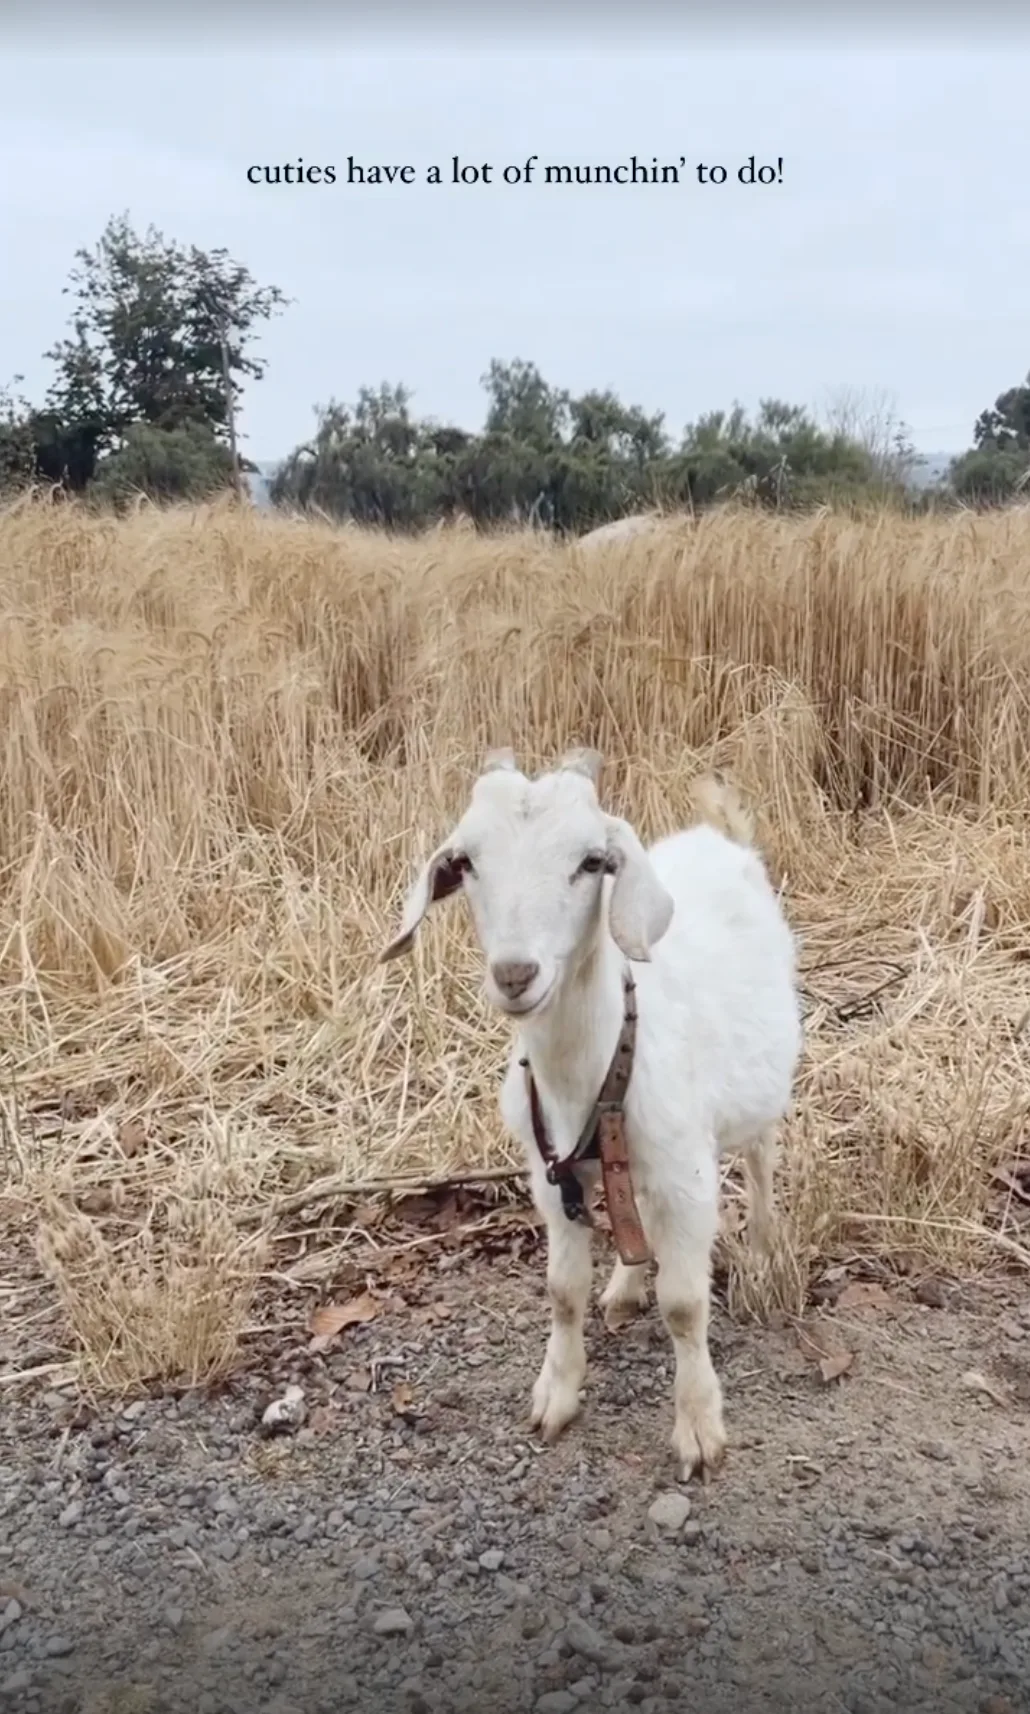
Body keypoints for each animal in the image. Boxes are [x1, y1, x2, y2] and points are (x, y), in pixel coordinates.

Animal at [381, 747, 802, 1479]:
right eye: (465, 863)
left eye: (590, 862)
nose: (515, 974)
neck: (596, 1065)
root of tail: (721, 838)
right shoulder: (552, 1177)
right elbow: (562, 1289)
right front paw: (556, 1393)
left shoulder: (685, 1177)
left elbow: (685, 1305)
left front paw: (698, 1428)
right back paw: (627, 1286)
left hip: (762, 1094)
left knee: (761, 1162)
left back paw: (764, 1253)